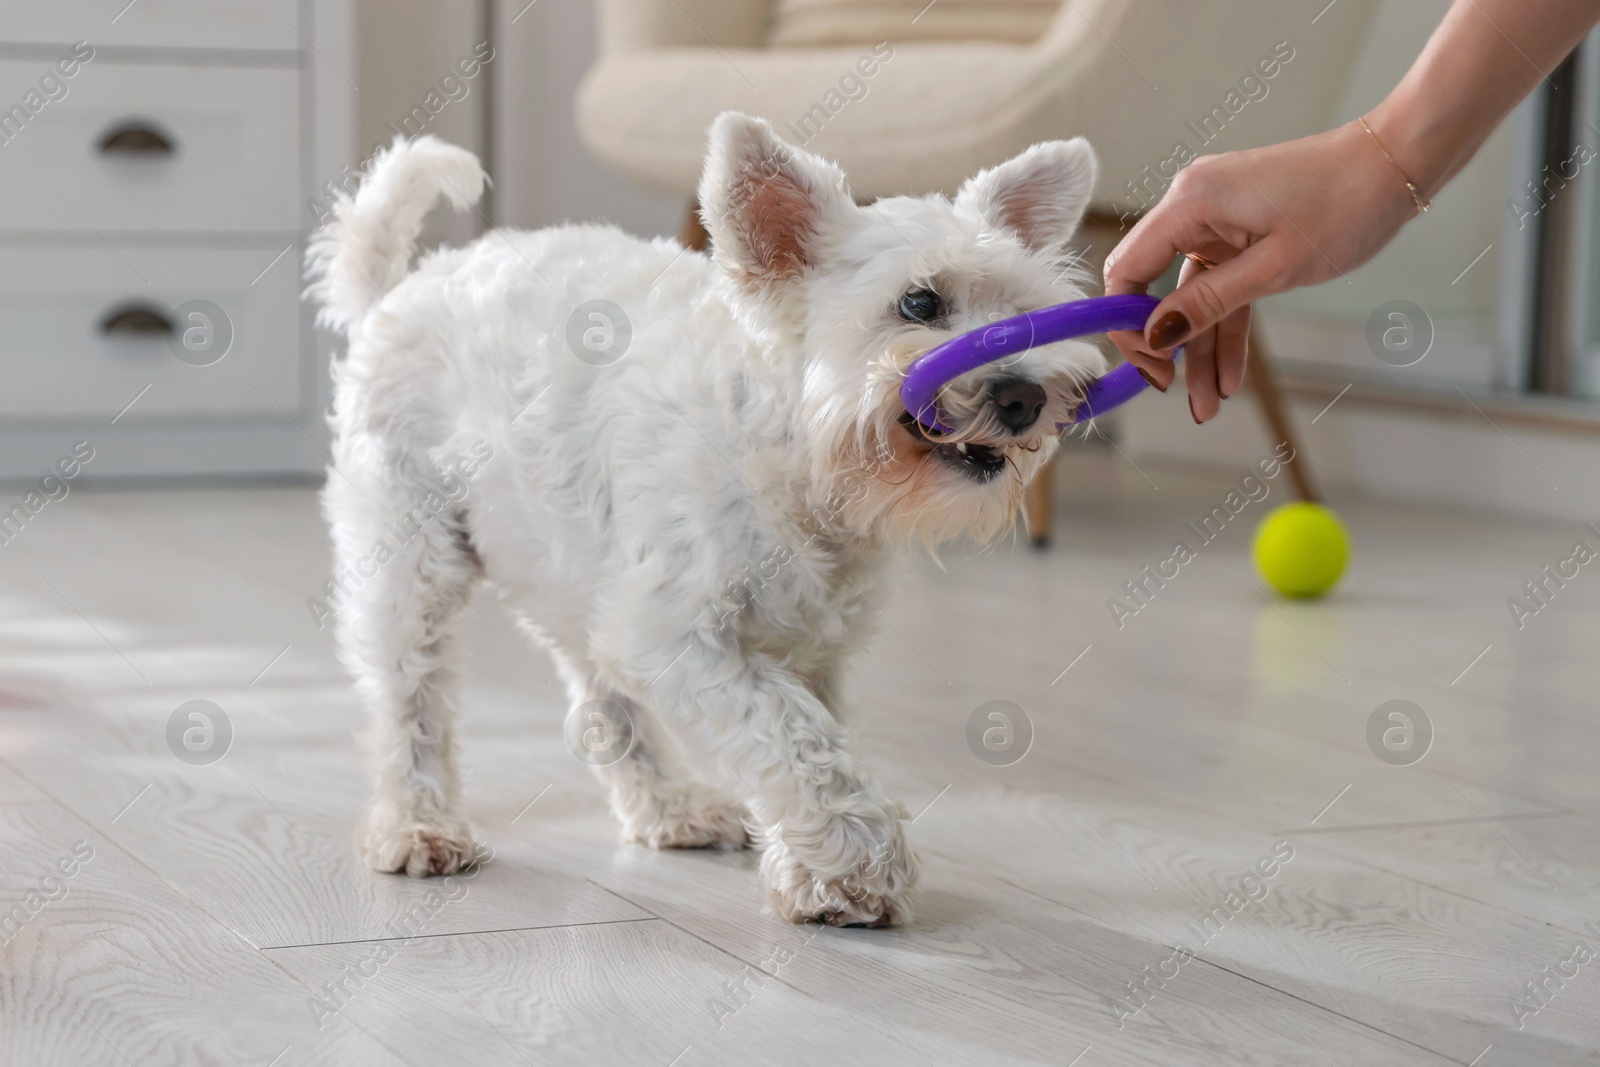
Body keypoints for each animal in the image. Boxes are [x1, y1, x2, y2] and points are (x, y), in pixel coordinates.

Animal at [302, 110, 1100, 927]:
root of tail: (394, 292)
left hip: (571, 573)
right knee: (410, 705)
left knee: (603, 708)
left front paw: (814, 870)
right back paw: (416, 826)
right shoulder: (678, 637)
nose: (1023, 396)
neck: (791, 460)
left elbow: (810, 744)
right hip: (414, 568)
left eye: (1028, 315)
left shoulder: (807, 651)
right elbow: (794, 742)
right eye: (918, 304)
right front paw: (862, 862)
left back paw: (670, 809)